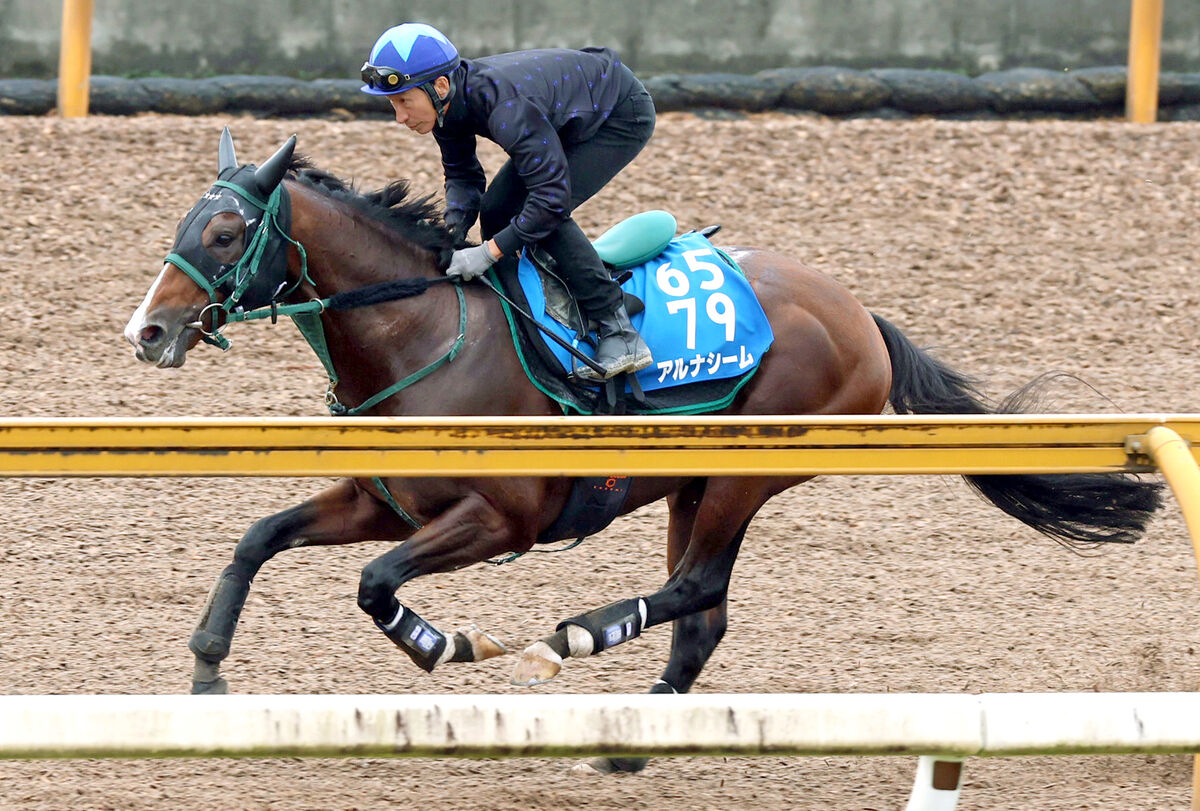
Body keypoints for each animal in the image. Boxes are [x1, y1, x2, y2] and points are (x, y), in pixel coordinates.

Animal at [124, 131, 1161, 772]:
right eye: (180, 225)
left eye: (225, 231)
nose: (147, 331)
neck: (421, 331)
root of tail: (860, 312)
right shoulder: (384, 498)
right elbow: (260, 536)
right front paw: (208, 671)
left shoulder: (501, 518)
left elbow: (377, 584)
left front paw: (448, 641)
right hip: (688, 481)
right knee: (703, 612)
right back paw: (631, 733)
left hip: (747, 471)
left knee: (695, 589)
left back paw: (571, 638)